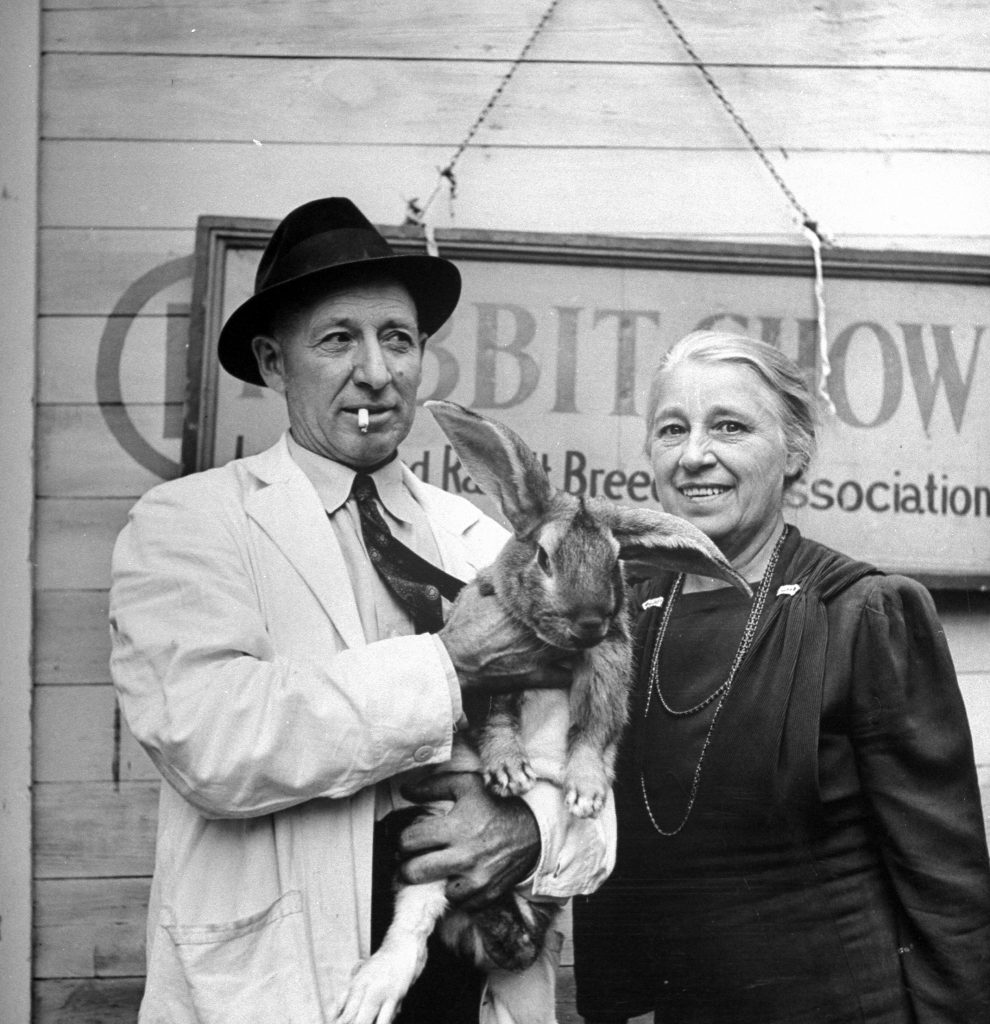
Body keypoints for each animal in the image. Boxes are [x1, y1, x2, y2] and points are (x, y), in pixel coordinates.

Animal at [329, 399, 745, 1024]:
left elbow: (594, 735)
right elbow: (497, 719)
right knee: (415, 924)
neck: (558, 645)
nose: (591, 620)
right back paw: (375, 989)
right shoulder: (488, 674)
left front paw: (585, 793)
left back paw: (508, 936)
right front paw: (508, 772)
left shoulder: (608, 670)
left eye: (616, 559)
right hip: (432, 843)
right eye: (545, 556)